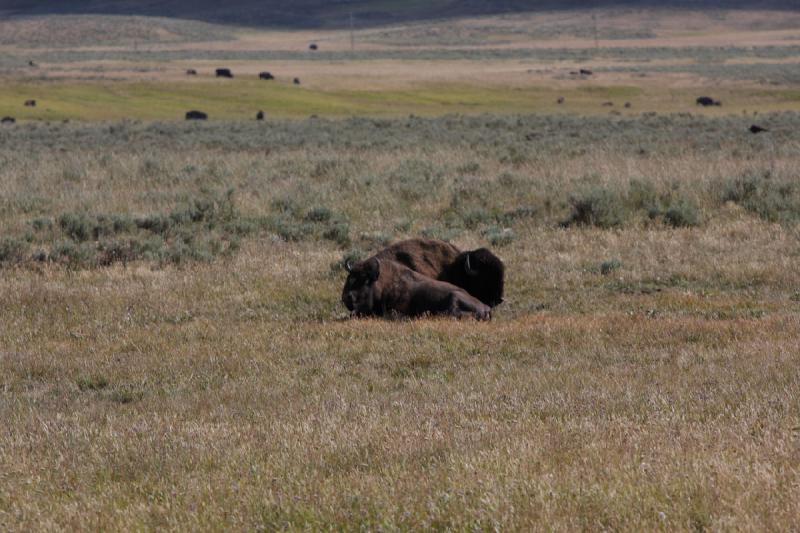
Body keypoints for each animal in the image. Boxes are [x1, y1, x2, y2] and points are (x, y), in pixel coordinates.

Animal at [340, 258, 490, 320]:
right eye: (349, 277)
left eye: (366, 280)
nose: (346, 298)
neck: (384, 285)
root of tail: (486, 307)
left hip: (454, 297)